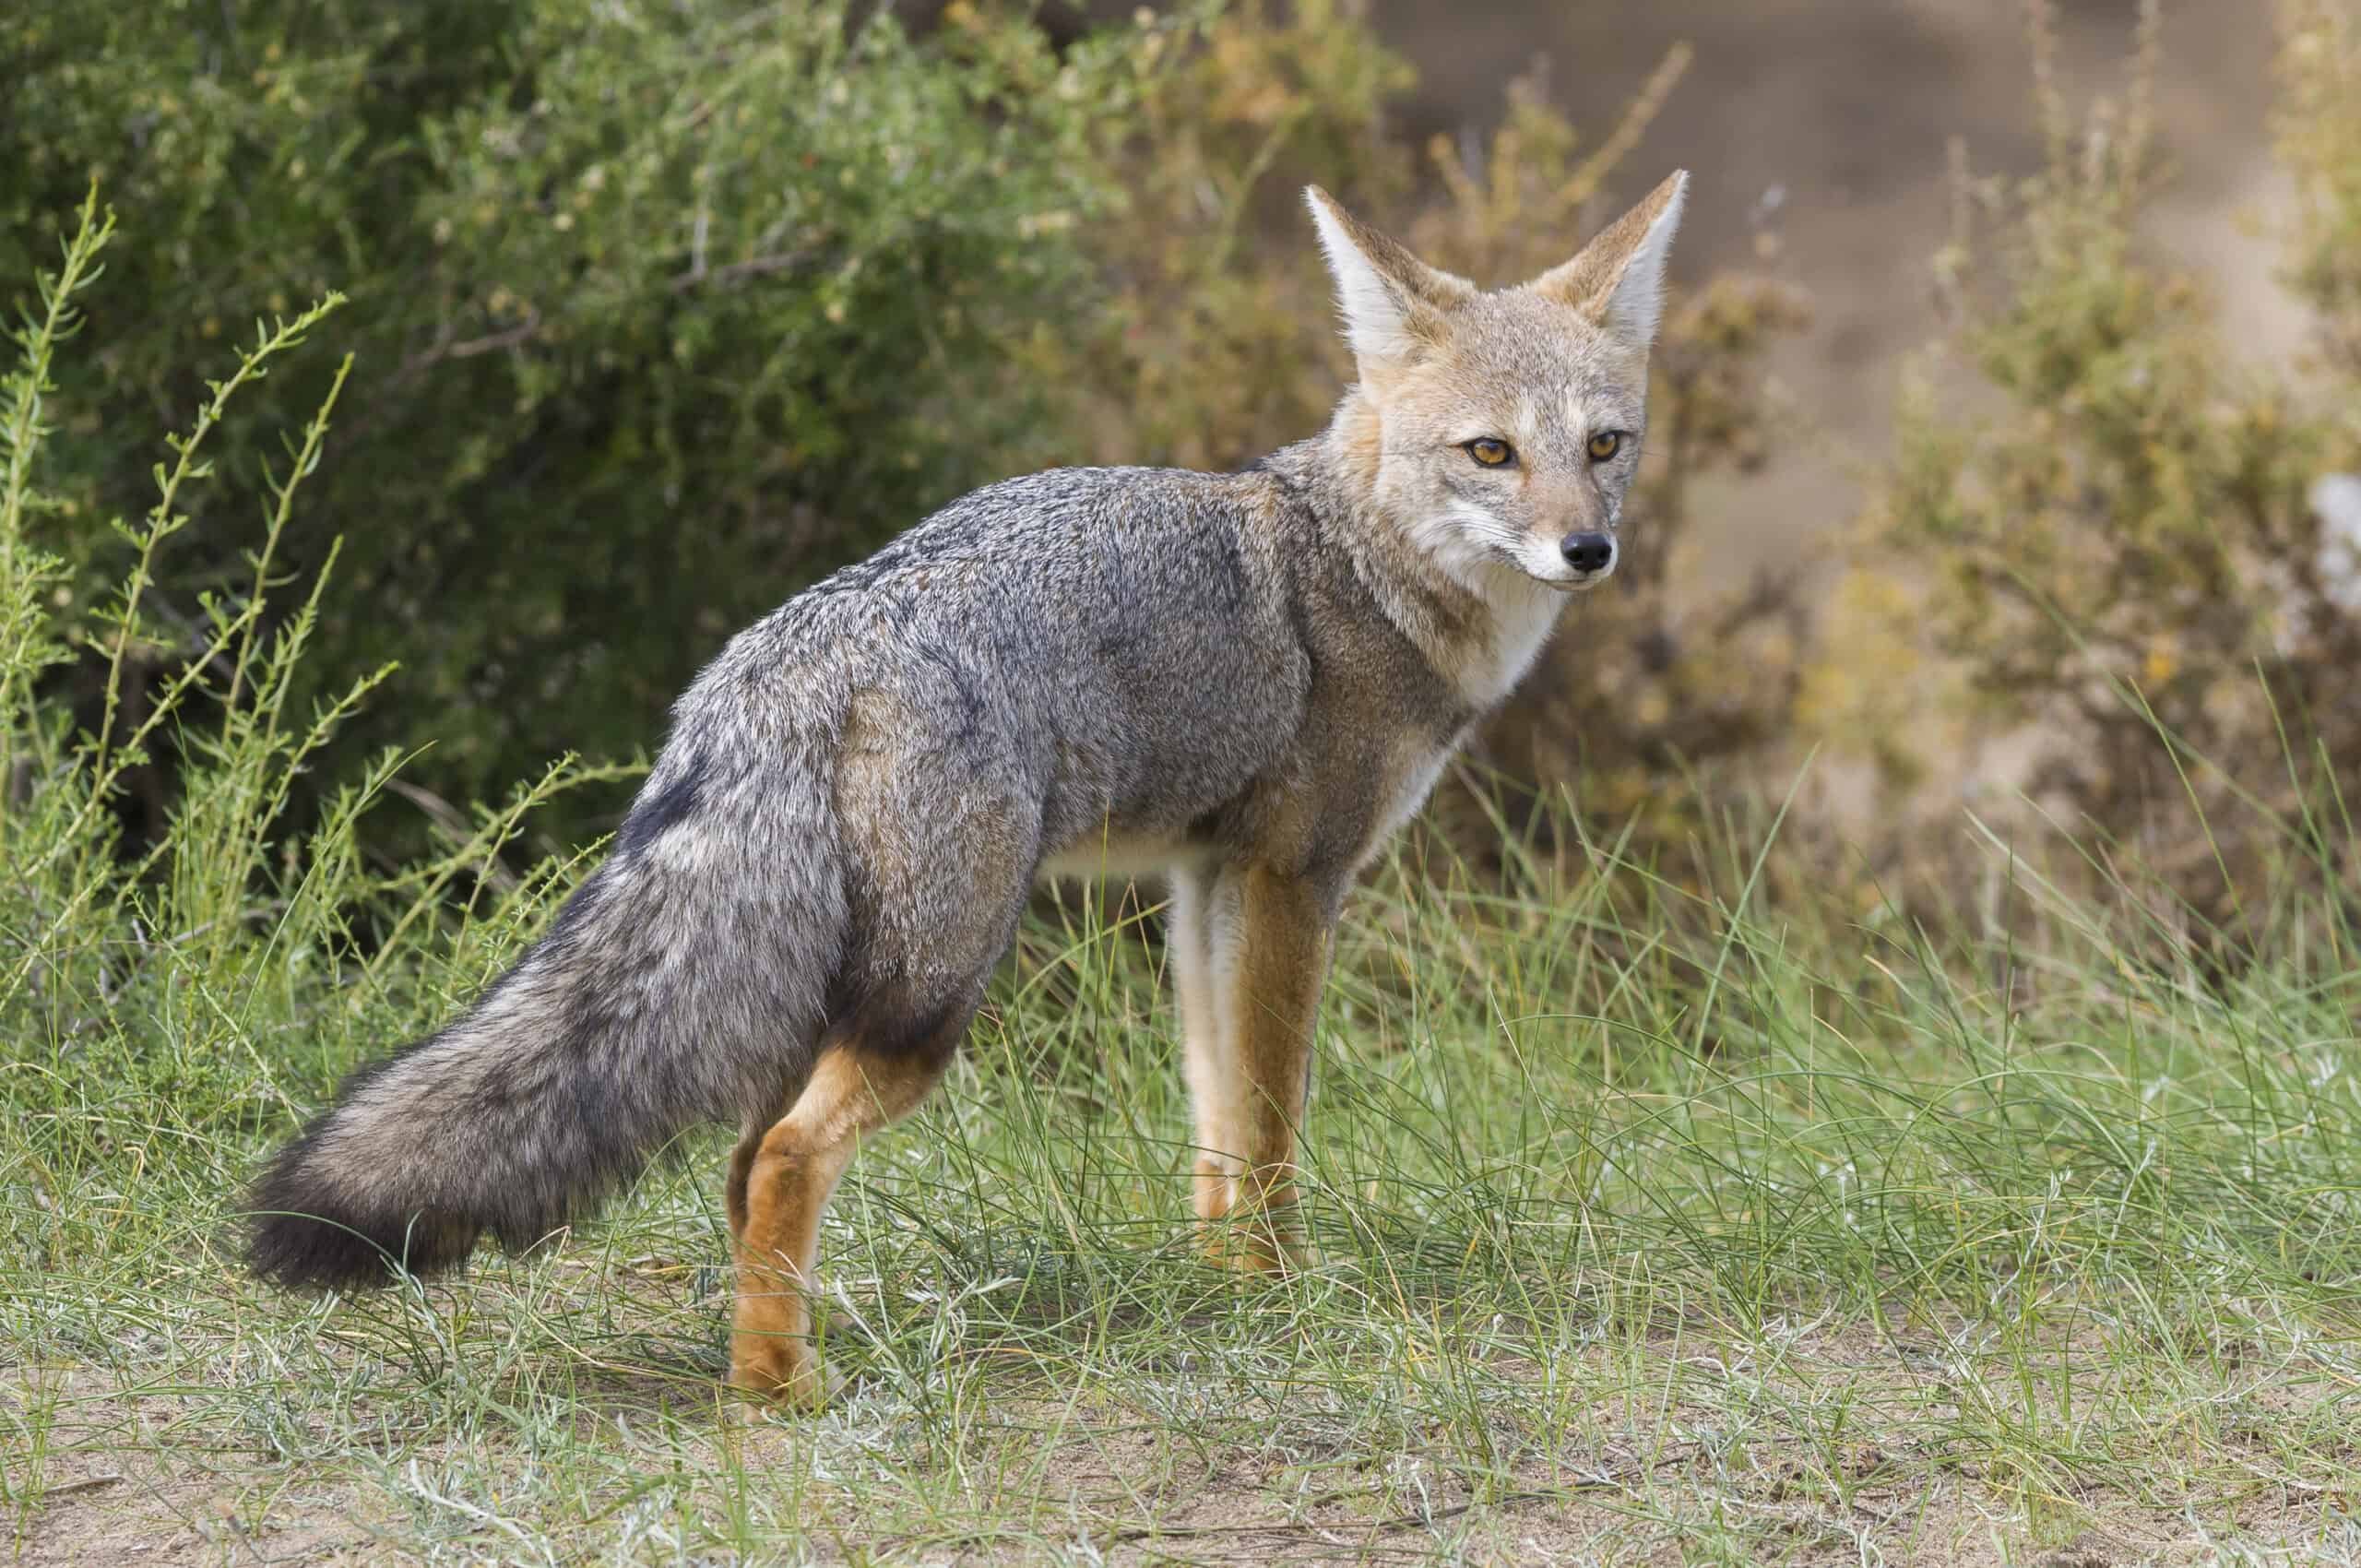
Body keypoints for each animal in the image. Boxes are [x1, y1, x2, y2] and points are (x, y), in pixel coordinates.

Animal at [249, 174, 1690, 1407]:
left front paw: (1221, 1280)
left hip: (839, 986)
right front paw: (1287, 1288)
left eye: (1604, 445)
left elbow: (1217, 1112)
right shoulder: (1297, 877)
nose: (1588, 549)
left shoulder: (1207, 882)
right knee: (783, 1156)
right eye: (1491, 454)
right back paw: (777, 1390)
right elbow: (1273, 1118)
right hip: (933, 995)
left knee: (740, 1165)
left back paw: (774, 1347)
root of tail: (790, 654)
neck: (1357, 565)